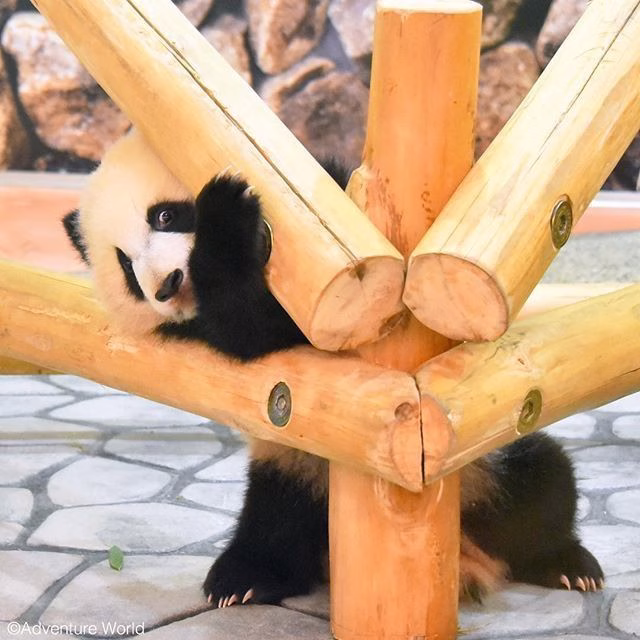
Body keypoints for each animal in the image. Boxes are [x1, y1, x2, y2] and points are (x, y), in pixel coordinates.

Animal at [63, 129, 604, 608]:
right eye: (126, 267)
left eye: (165, 215)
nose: (168, 284)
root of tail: (468, 555)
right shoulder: (209, 329)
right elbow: (250, 330)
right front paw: (227, 219)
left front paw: (226, 203)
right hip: (291, 470)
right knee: (273, 525)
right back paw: (244, 578)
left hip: (487, 467)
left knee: (543, 485)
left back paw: (567, 564)